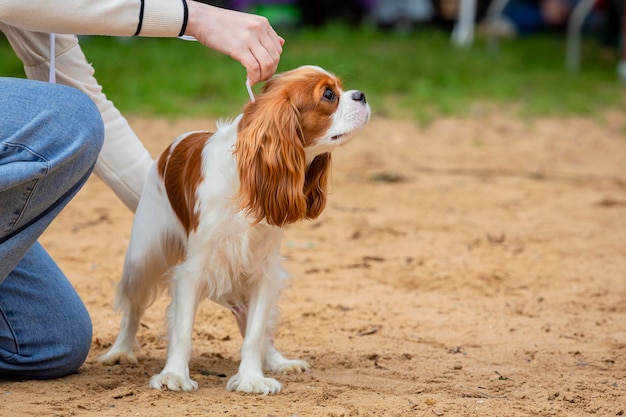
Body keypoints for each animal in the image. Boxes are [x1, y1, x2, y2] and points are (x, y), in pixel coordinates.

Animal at [99, 65, 368, 394]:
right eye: (329, 95)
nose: (362, 95)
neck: (248, 176)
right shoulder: (193, 271)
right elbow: (182, 331)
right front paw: (174, 375)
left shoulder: (263, 274)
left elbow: (254, 335)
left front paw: (252, 377)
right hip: (143, 258)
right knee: (133, 309)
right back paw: (120, 351)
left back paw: (278, 361)